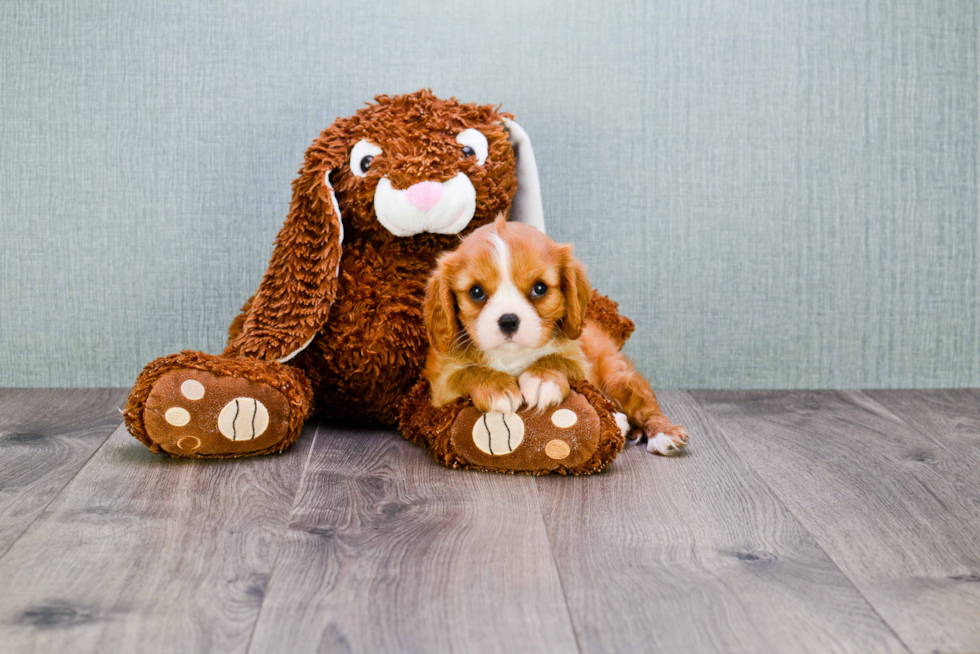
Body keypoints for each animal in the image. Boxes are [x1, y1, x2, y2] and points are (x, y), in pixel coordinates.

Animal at [424, 215, 688, 456]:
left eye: (539, 288)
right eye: (476, 292)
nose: (508, 320)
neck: (511, 356)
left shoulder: (581, 365)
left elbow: (557, 359)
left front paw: (543, 379)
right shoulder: (441, 386)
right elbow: (467, 372)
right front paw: (496, 386)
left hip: (616, 377)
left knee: (645, 404)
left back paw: (664, 433)